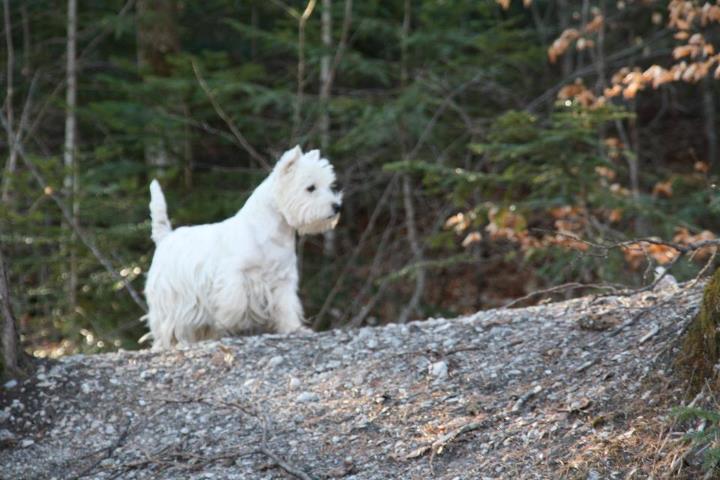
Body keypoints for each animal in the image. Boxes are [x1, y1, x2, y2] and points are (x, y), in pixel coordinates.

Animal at [144, 144, 344, 350]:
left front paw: (294, 328)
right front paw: (229, 321)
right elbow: (236, 301)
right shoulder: (233, 274)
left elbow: (286, 305)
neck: (272, 232)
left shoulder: (283, 277)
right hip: (170, 299)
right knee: (165, 326)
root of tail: (165, 237)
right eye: (310, 188)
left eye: (330, 186)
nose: (337, 206)